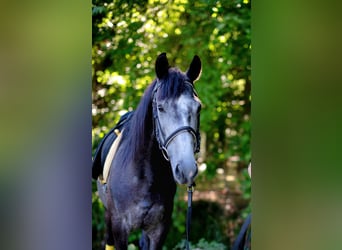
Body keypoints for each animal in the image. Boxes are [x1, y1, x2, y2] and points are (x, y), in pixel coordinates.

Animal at [93, 52, 202, 250]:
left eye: (198, 108)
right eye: (160, 107)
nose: (187, 169)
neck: (143, 176)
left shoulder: (159, 230)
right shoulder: (120, 228)